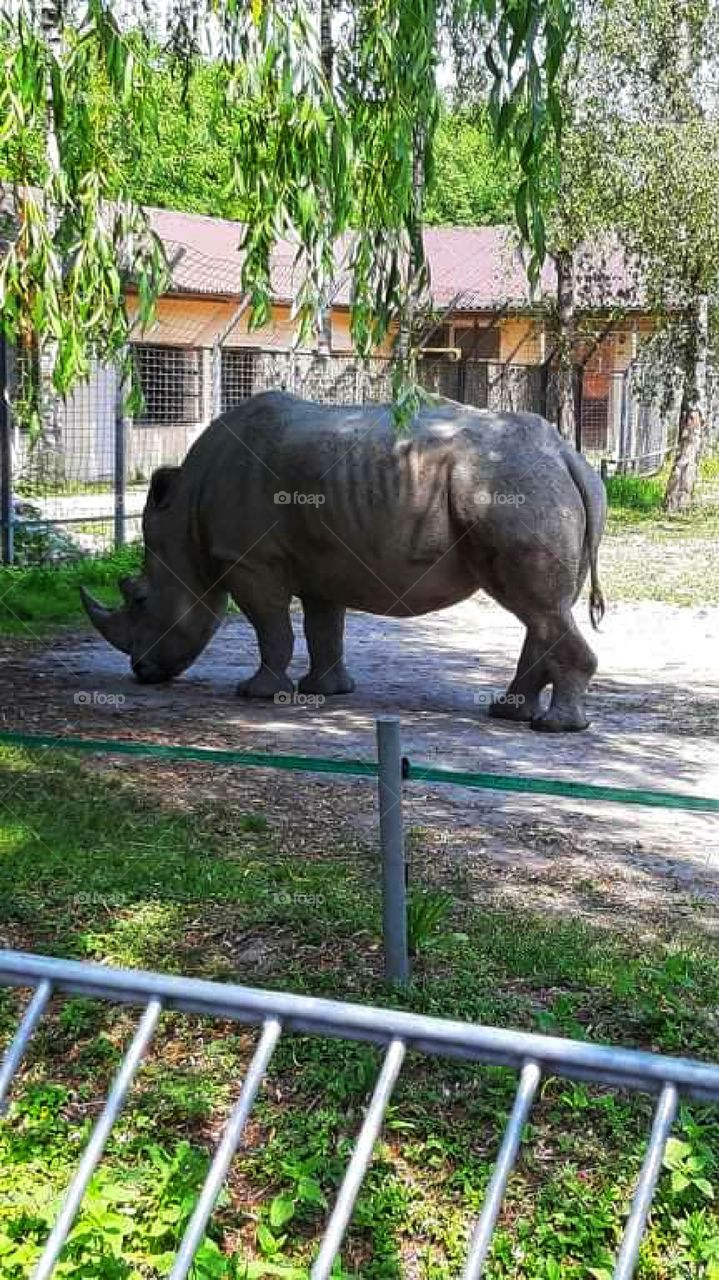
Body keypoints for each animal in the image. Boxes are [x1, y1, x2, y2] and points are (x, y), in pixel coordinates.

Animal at [81, 390, 606, 732]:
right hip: (540, 488)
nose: (141, 672)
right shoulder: (321, 562)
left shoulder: (248, 560)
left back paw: (555, 728)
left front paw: (257, 693)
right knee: (544, 611)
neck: (186, 520)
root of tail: (567, 455)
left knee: (535, 606)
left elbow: (272, 626)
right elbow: (322, 626)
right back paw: (508, 712)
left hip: (512, 490)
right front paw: (326, 690)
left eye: (140, 599)